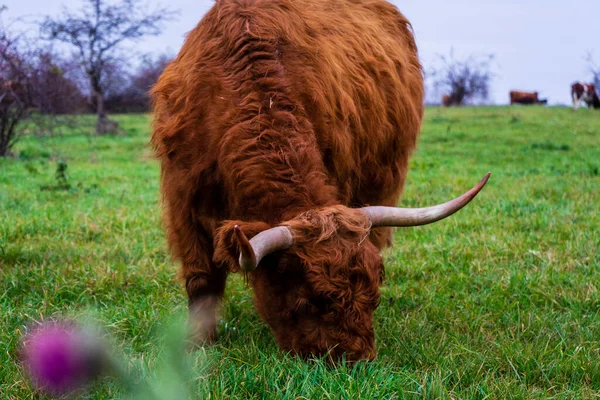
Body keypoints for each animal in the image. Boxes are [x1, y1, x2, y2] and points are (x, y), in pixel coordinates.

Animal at [150, 0, 488, 362]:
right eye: (308, 301)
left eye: (373, 294)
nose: (358, 360)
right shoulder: (184, 195)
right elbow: (202, 278)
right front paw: (196, 344)